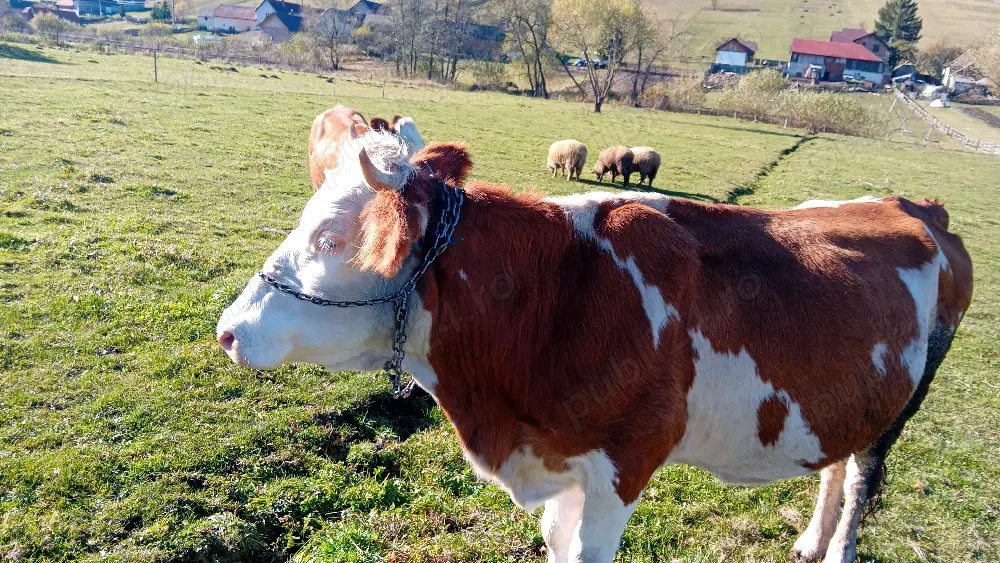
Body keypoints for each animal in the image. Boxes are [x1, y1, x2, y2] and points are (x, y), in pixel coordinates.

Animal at [217, 124, 973, 563]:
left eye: (329, 238)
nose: (228, 329)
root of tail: (912, 204)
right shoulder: (561, 463)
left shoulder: (624, 463)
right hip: (852, 395)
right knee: (834, 464)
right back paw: (810, 541)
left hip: (904, 402)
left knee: (863, 479)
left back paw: (836, 546)